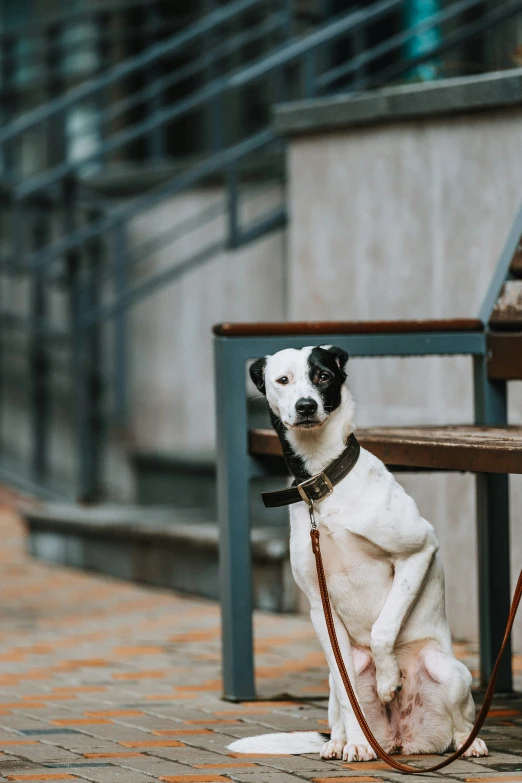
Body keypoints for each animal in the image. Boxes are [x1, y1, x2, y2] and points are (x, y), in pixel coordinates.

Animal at [228, 346, 484, 764]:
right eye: (282, 380)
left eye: (323, 376)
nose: (305, 406)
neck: (323, 483)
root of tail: (399, 740)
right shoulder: (320, 608)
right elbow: (349, 689)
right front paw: (358, 743)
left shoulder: (420, 549)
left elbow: (383, 627)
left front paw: (388, 680)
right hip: (337, 679)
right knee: (340, 697)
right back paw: (342, 742)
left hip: (447, 670)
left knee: (461, 723)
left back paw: (469, 742)